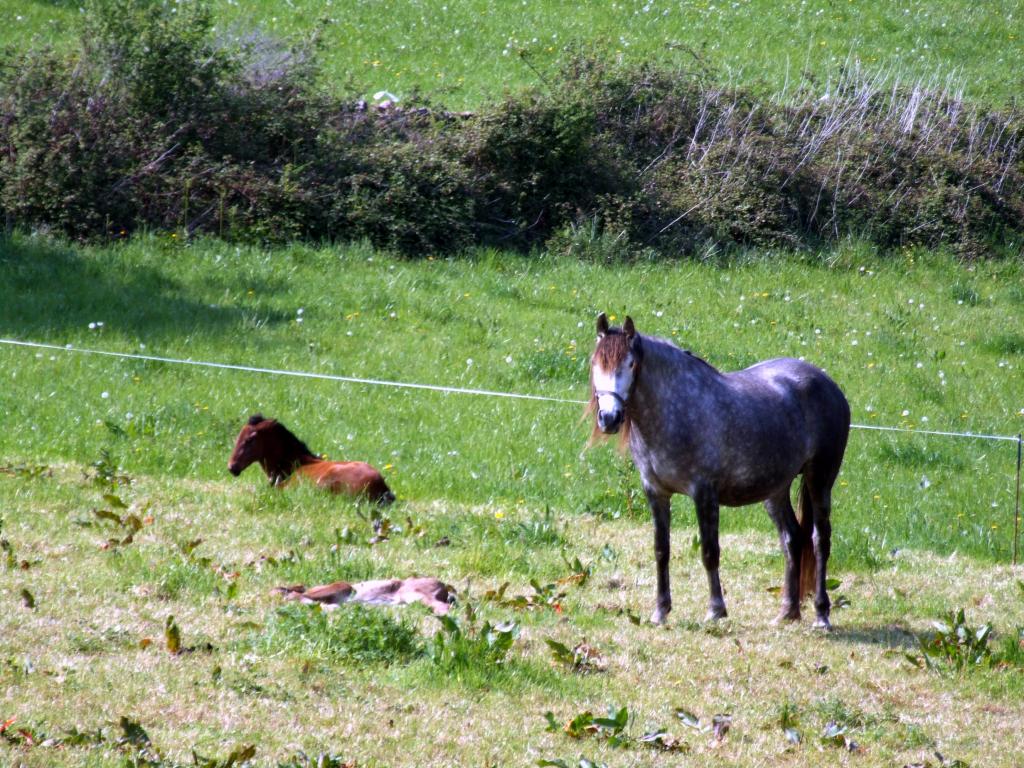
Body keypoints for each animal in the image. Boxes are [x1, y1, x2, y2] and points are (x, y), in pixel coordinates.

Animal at [589, 313, 851, 630]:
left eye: (630, 364)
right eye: (596, 364)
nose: (609, 418)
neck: (676, 410)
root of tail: (830, 385)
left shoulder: (704, 493)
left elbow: (709, 552)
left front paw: (716, 610)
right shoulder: (656, 492)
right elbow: (661, 551)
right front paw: (660, 611)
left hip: (820, 479)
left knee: (819, 539)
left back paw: (822, 615)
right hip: (775, 490)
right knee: (792, 538)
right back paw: (787, 612)